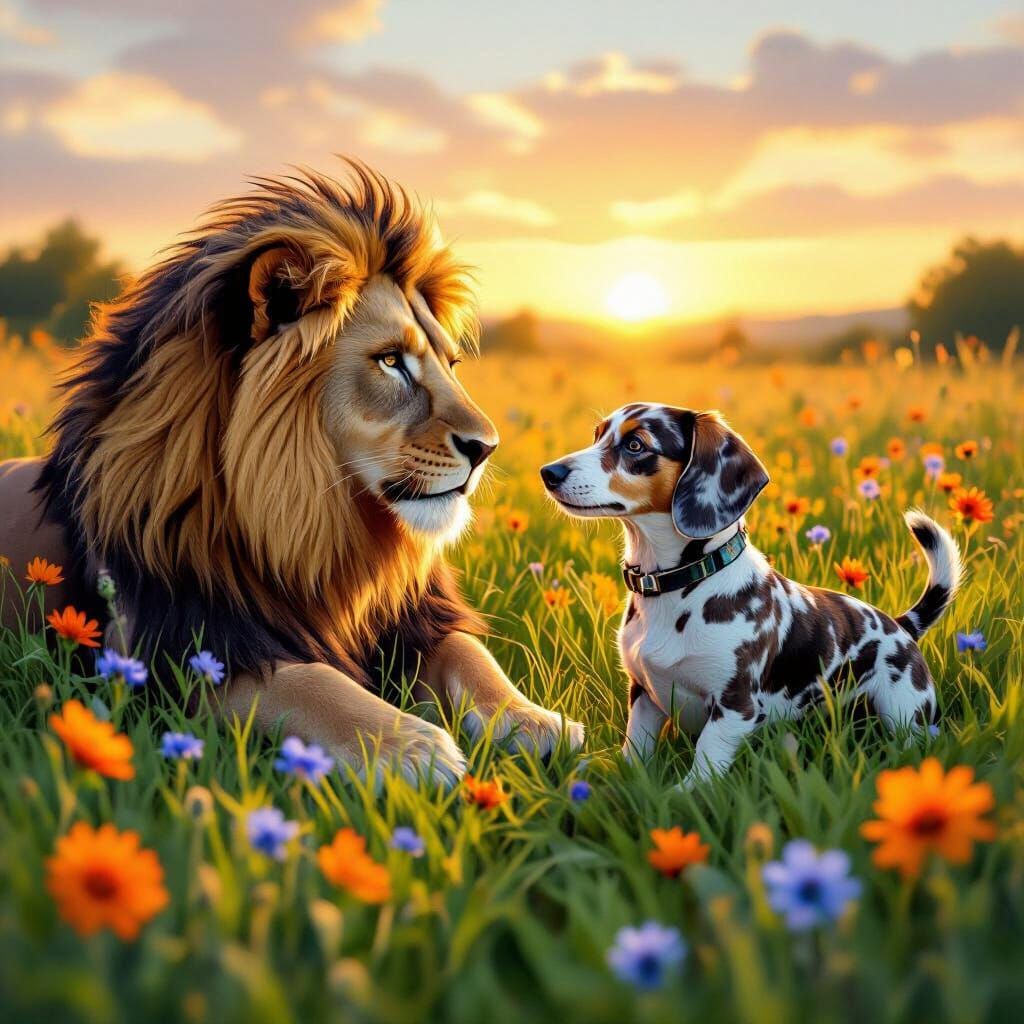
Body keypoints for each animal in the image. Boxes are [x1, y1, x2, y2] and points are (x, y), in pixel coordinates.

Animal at [0, 161, 584, 783]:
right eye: (390, 361)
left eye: (450, 364)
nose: (487, 447)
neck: (315, 530)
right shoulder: (177, 658)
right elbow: (312, 682)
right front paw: (412, 747)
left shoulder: (416, 619)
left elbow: (473, 657)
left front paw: (535, 723)